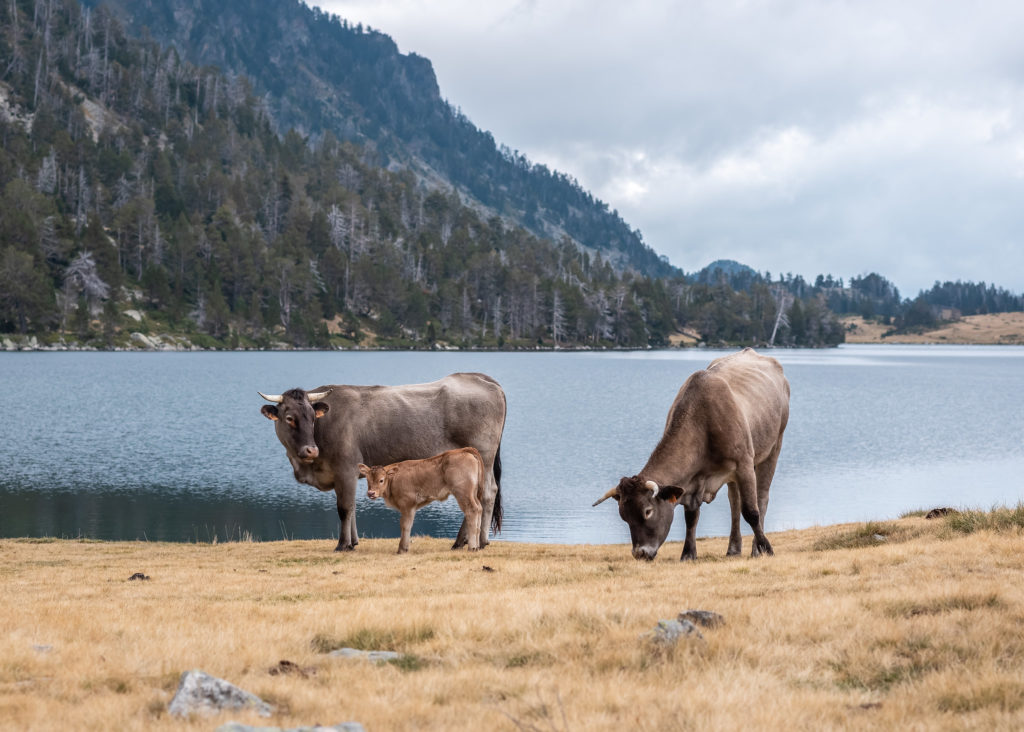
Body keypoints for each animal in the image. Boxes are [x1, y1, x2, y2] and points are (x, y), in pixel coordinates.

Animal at [260, 374, 507, 552]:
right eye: (289, 418)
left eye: (313, 418)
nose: (311, 450)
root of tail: (480, 378)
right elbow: (353, 508)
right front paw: (354, 542)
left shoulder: (345, 469)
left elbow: (344, 508)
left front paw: (343, 545)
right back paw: (460, 542)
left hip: (484, 456)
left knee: (485, 495)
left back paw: (480, 541)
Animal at [589, 348, 786, 561]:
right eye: (624, 516)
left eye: (648, 511)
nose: (639, 553)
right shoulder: (692, 483)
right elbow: (691, 517)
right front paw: (688, 553)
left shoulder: (744, 464)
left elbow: (751, 511)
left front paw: (767, 548)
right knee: (734, 502)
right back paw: (733, 548)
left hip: (774, 447)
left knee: (761, 498)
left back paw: (756, 548)